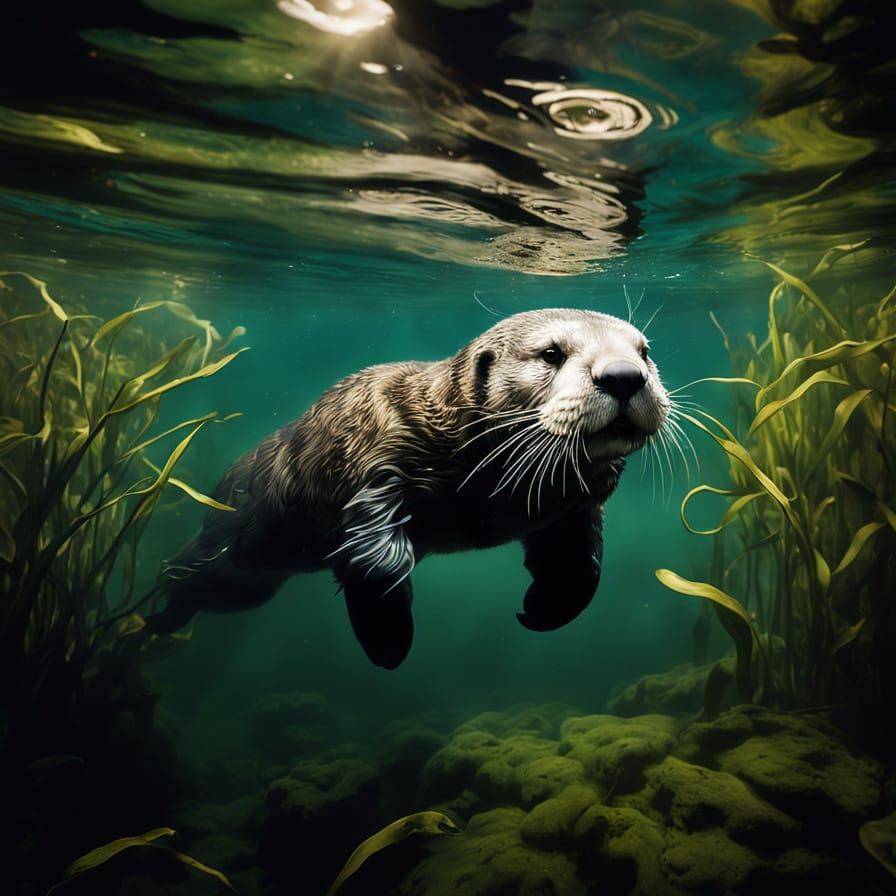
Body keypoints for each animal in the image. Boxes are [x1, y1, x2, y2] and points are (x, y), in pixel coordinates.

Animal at [148, 309, 670, 669]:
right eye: (551, 354)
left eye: (645, 351)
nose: (624, 375)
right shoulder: (377, 461)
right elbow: (377, 560)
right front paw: (389, 640)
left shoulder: (570, 510)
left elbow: (580, 561)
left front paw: (545, 608)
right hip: (230, 553)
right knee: (182, 569)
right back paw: (150, 618)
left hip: (251, 585)